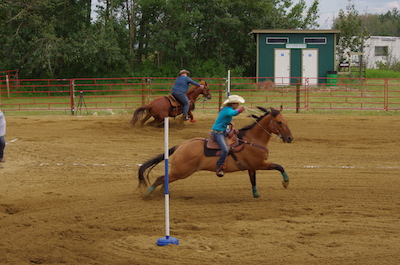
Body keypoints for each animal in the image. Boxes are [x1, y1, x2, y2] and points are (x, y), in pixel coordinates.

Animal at [138, 105, 294, 198]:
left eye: (286, 121)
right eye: (279, 122)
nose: (290, 138)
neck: (252, 139)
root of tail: (180, 146)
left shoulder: (252, 166)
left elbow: (253, 179)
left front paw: (256, 194)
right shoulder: (261, 163)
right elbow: (279, 166)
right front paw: (286, 182)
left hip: (179, 172)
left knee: (164, 179)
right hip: (181, 171)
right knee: (161, 178)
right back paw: (147, 195)